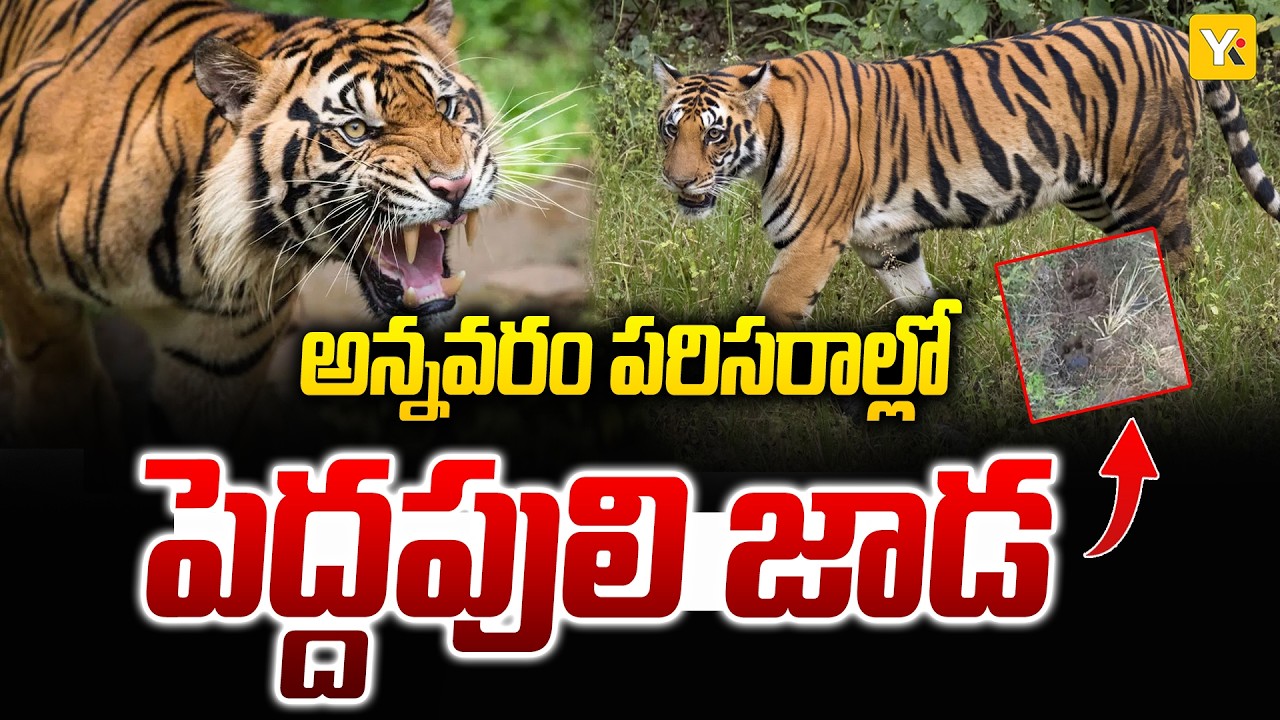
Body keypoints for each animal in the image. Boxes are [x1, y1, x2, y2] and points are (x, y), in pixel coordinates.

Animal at [0, 0, 498, 444]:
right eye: (355, 129)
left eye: (447, 107)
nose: (454, 184)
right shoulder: (29, 296)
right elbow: (59, 386)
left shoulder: (216, 361)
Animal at [652, 15, 1280, 328]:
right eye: (669, 129)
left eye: (714, 133)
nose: (678, 183)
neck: (770, 137)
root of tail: (1172, 33)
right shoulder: (889, 243)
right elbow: (918, 300)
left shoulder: (807, 244)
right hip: (1093, 194)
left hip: (1148, 184)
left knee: (1183, 262)